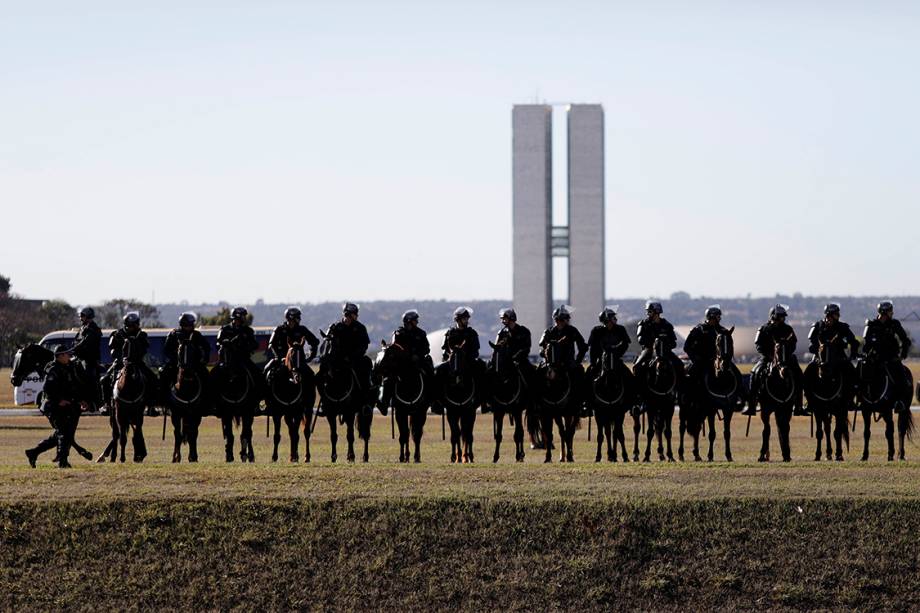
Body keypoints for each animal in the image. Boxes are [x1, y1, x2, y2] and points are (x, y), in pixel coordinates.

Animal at [318, 330, 372, 464]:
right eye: (321, 346)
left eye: (332, 346)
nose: (322, 360)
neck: (336, 382)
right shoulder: (330, 413)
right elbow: (333, 435)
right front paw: (333, 457)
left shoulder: (349, 412)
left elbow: (350, 435)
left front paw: (351, 456)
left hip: (366, 411)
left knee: (366, 433)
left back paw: (365, 456)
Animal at [680, 328, 744, 462]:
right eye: (718, 343)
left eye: (731, 342)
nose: (724, 365)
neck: (721, 380)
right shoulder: (711, 409)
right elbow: (712, 433)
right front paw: (710, 456)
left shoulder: (728, 409)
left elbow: (727, 433)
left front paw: (729, 455)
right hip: (685, 407)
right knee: (682, 428)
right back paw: (681, 454)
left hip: (699, 410)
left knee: (697, 428)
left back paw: (697, 454)